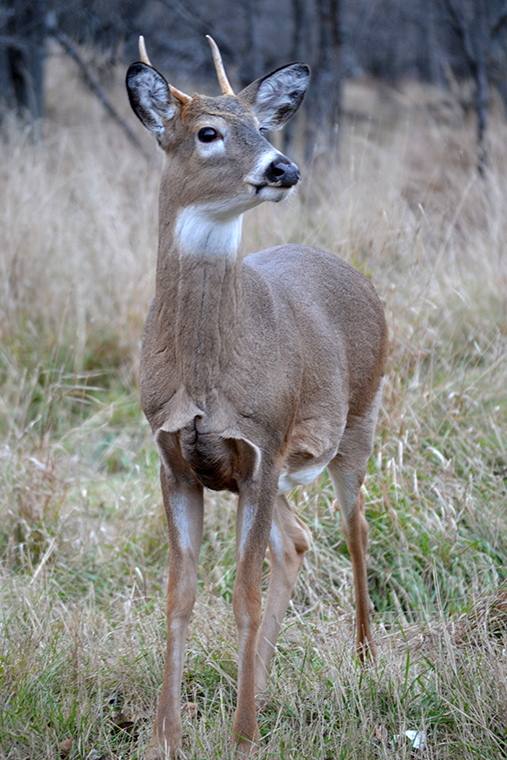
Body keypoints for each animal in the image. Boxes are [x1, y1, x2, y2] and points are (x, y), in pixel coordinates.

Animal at [127, 37, 388, 760]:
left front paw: (242, 739)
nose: (283, 167)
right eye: (207, 133)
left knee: (355, 527)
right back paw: (264, 681)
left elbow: (241, 597)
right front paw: (165, 736)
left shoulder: (263, 445)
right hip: (275, 473)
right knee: (295, 541)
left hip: (357, 424)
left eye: (263, 126)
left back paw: (364, 659)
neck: (203, 375)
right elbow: (179, 599)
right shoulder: (175, 459)